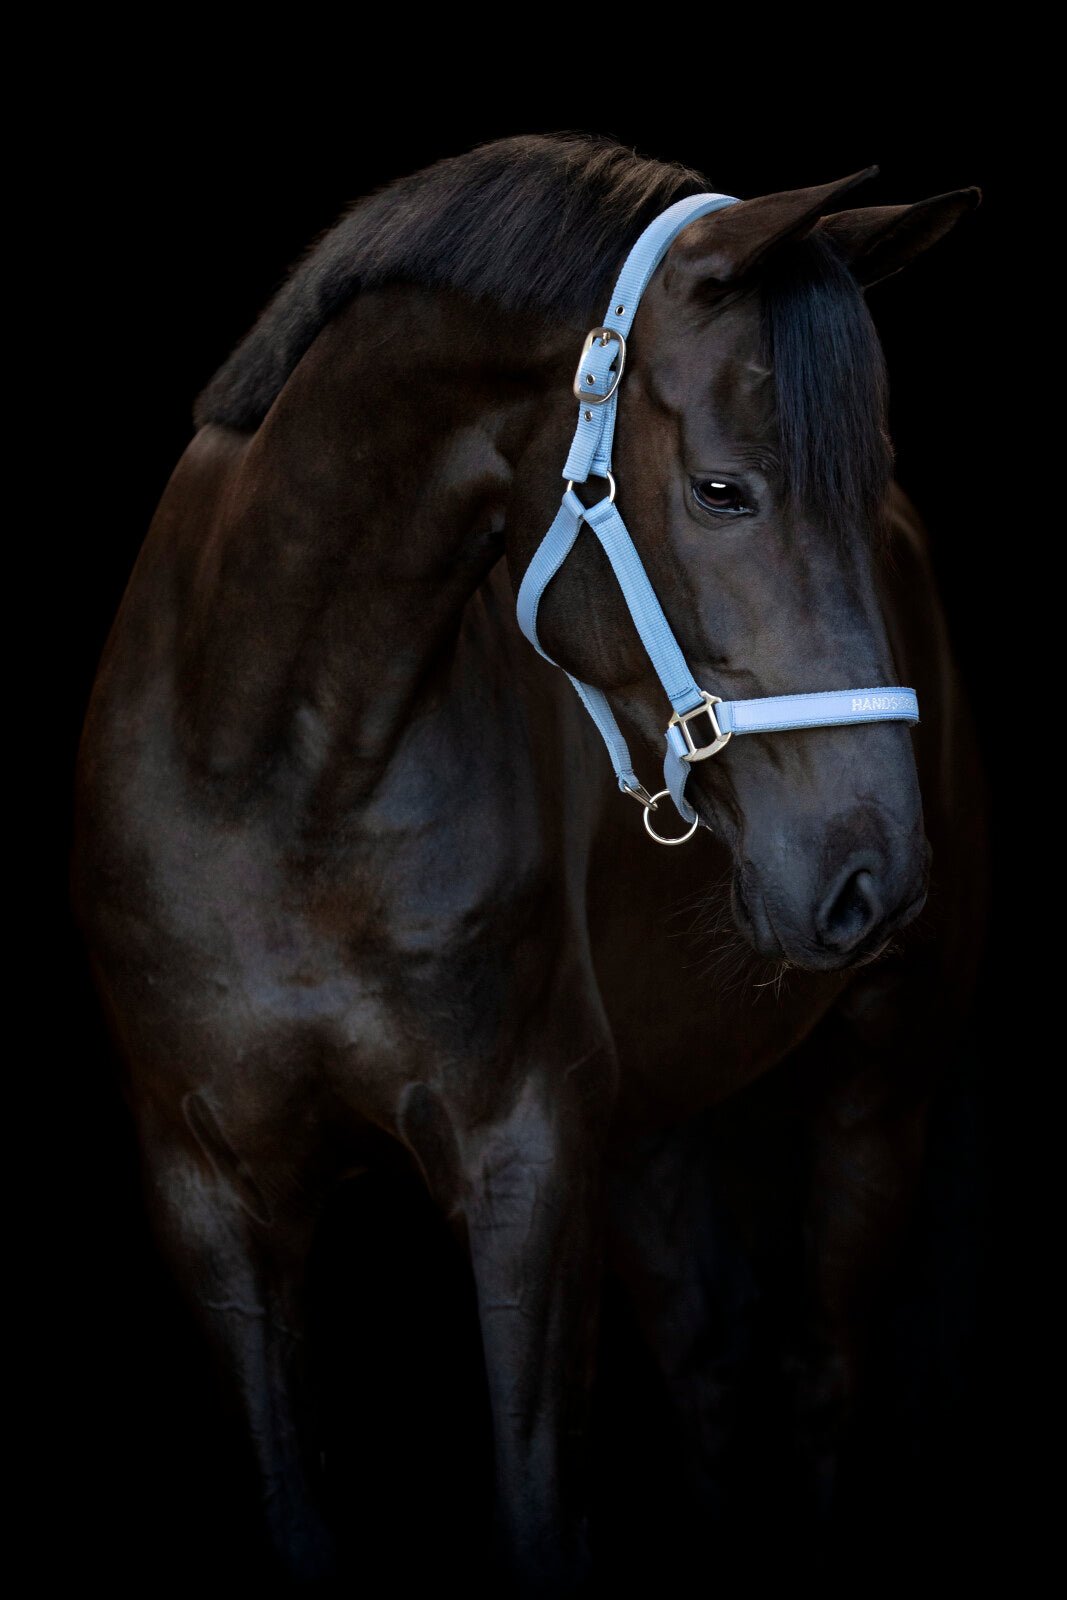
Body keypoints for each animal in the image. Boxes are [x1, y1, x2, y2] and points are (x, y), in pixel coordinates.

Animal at [74, 134, 985, 1592]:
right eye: (722, 488)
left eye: (867, 480)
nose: (871, 875)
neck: (271, 775)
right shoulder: (207, 1191)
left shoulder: (528, 1162)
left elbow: (539, 1510)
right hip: (650, 1127)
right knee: (710, 1366)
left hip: (875, 1089)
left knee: (815, 1377)